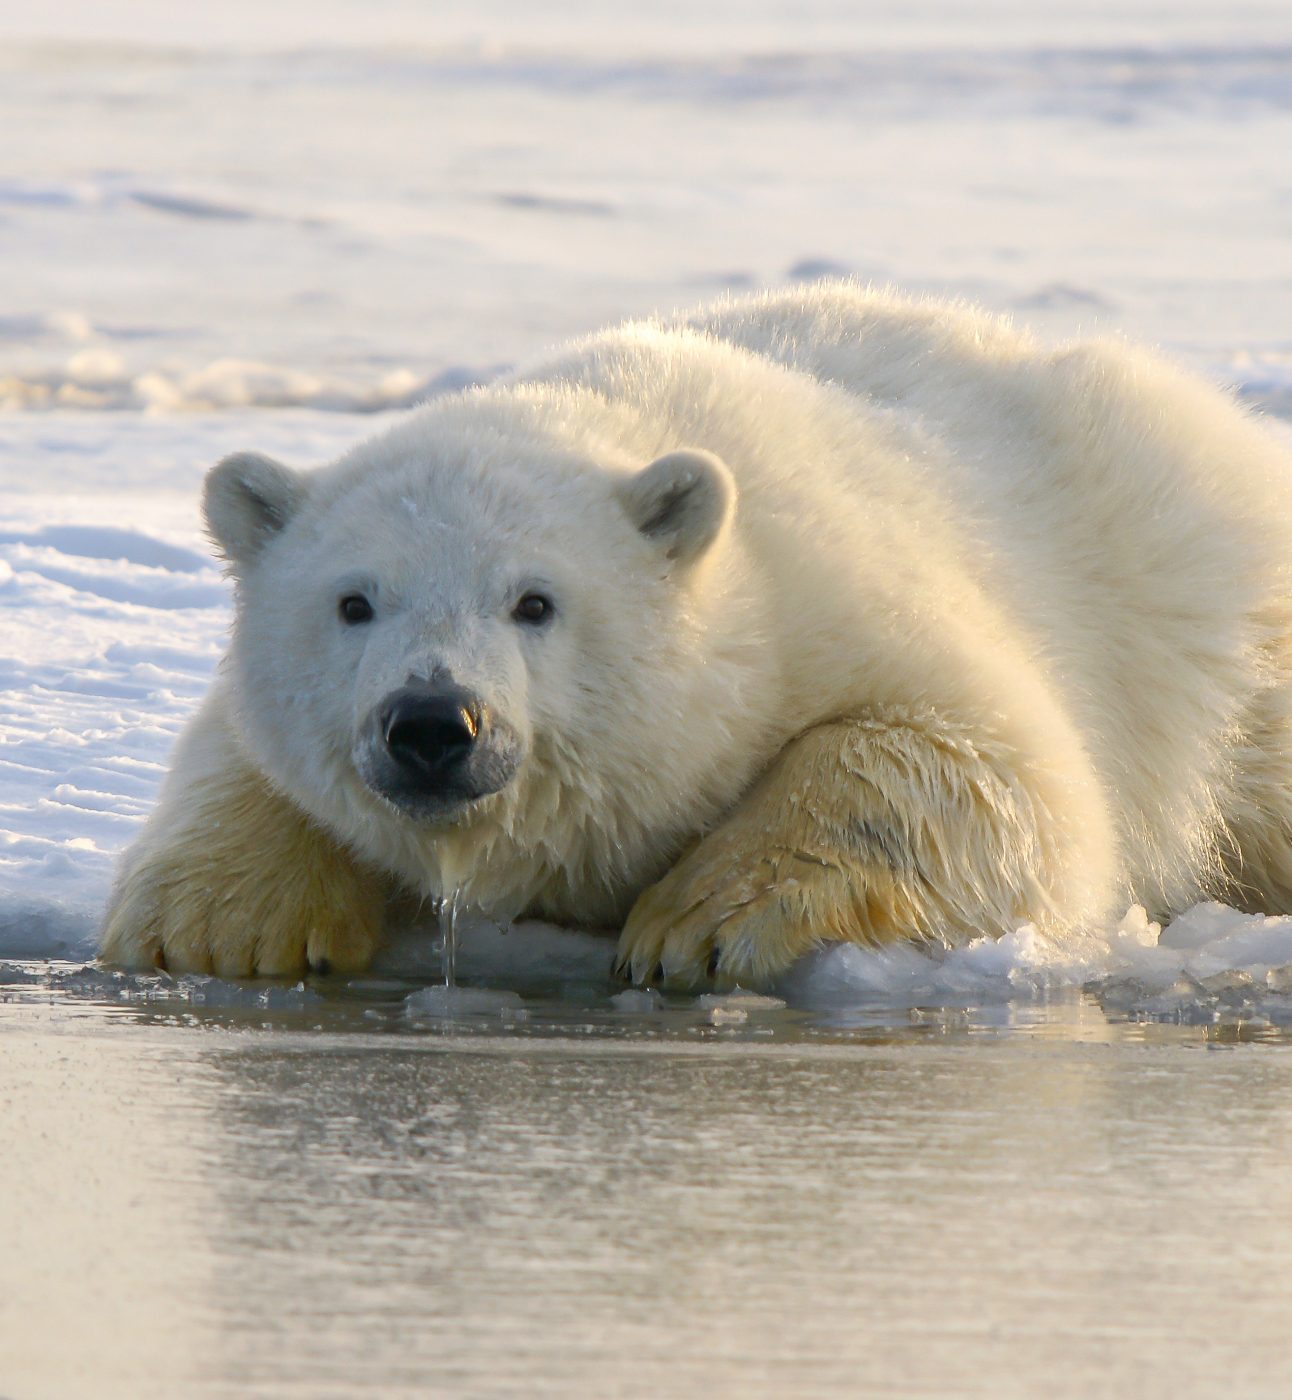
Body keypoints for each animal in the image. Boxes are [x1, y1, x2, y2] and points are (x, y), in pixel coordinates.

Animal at [103, 281, 1292, 985]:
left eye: (534, 600)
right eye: (354, 601)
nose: (433, 723)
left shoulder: (845, 597)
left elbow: (994, 770)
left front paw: (700, 921)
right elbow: (237, 751)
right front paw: (223, 922)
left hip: (1206, 603)